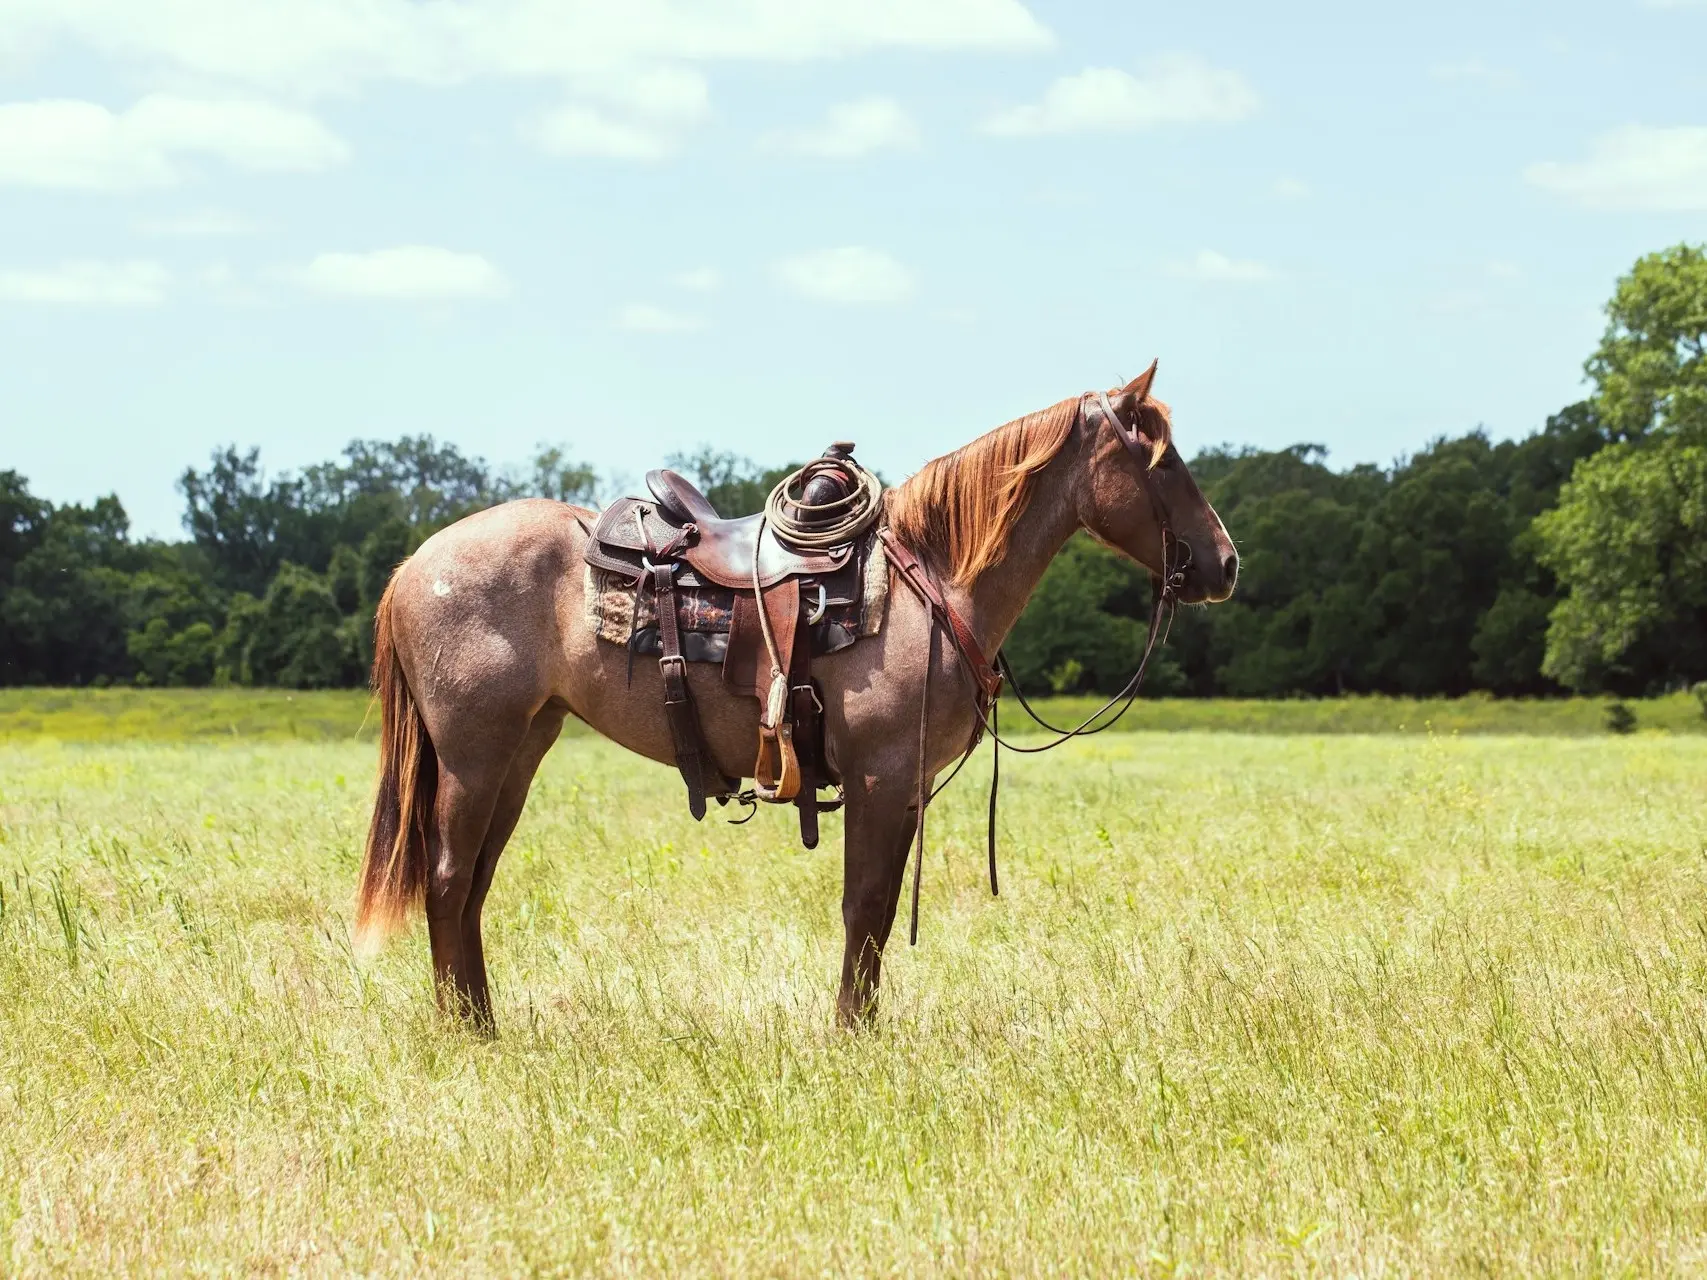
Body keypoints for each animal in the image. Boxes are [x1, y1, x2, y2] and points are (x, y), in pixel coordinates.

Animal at [356, 361, 1242, 1030]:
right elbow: (866, 909)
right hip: (473, 756)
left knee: (472, 885)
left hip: (520, 750)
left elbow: (872, 913)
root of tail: (414, 563)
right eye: (1162, 462)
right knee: (447, 878)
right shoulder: (882, 778)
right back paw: (466, 1034)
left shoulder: (902, 786)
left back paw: (483, 1023)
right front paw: (852, 1035)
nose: (1224, 563)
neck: (932, 578)